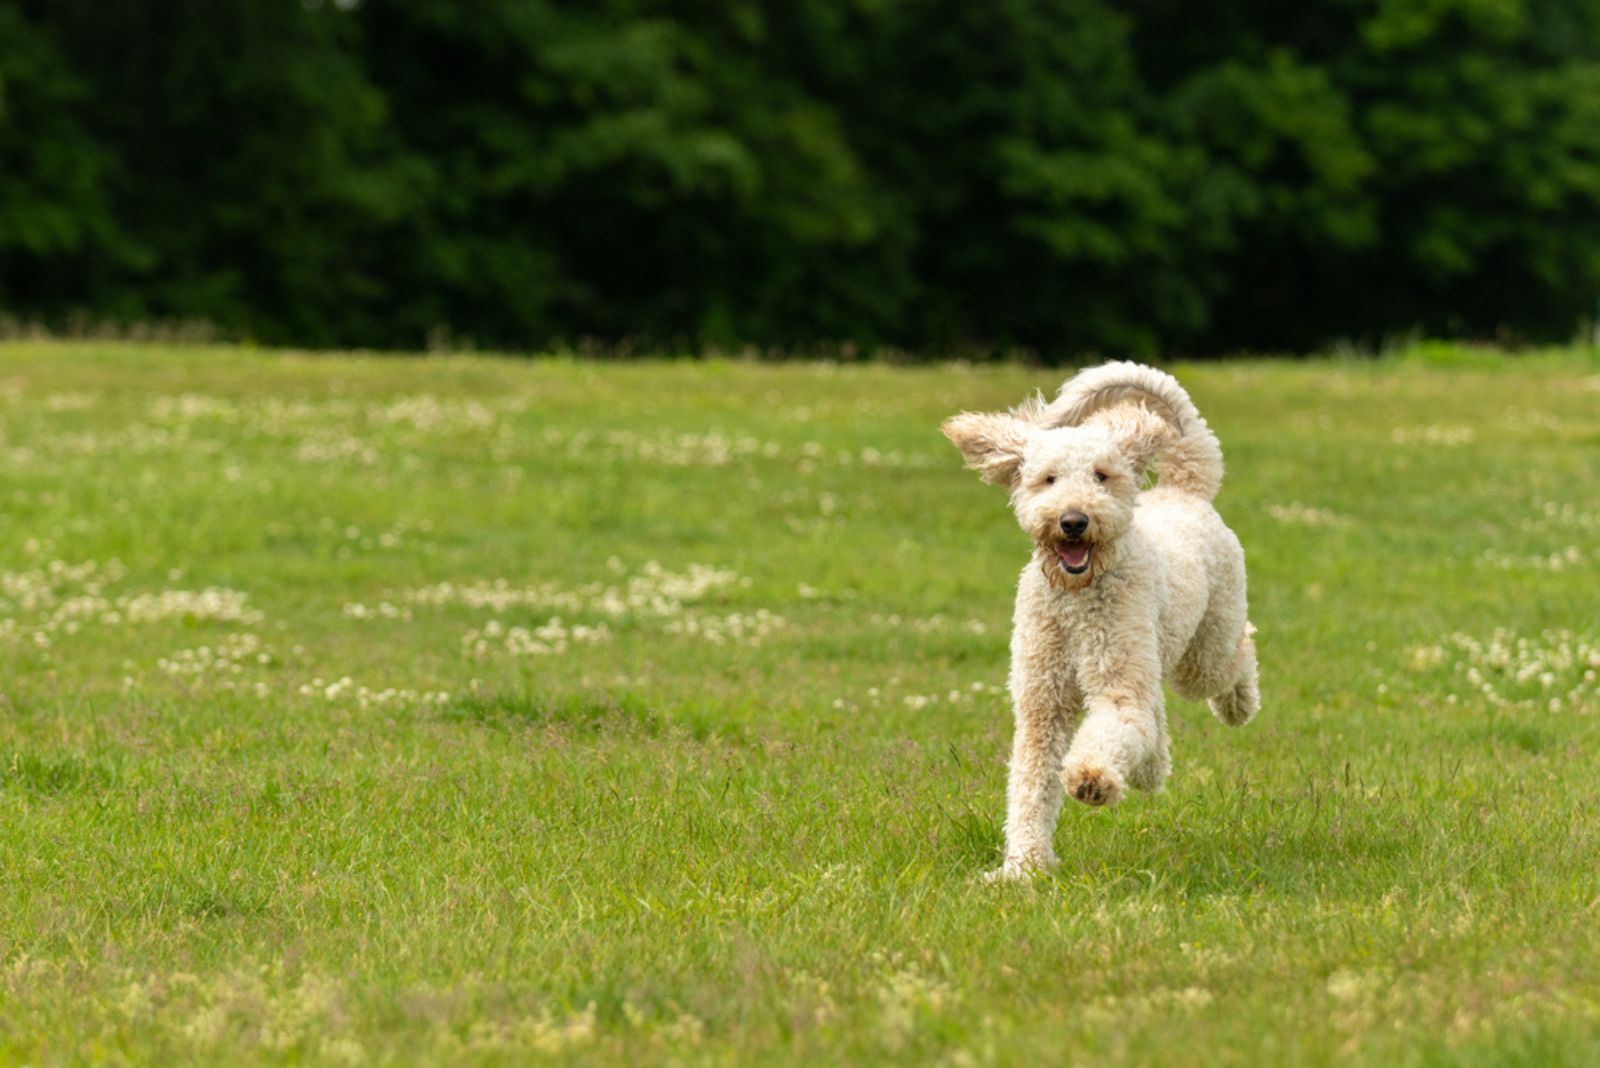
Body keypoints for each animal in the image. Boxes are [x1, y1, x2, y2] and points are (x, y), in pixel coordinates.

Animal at [934, 362, 1260, 882]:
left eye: (1102, 476)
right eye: (1048, 479)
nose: (1073, 520)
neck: (1075, 603)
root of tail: (1183, 488)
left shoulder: (1117, 685)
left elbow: (1112, 727)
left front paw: (1091, 779)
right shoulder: (1042, 703)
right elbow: (1030, 785)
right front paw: (1023, 868)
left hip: (1203, 650)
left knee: (1235, 654)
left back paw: (1238, 704)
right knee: (1155, 723)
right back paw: (1149, 768)